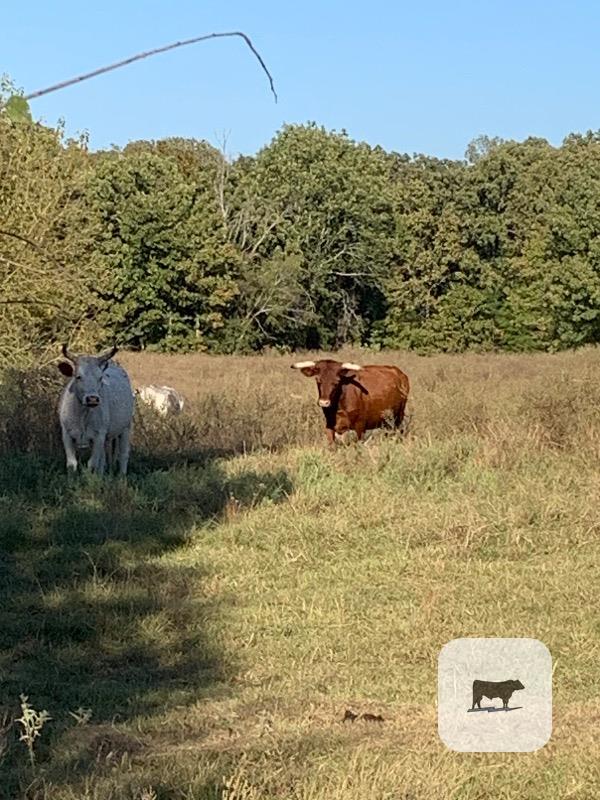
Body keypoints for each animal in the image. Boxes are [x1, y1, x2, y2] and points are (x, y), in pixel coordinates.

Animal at [57, 344, 135, 475]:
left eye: (100, 378)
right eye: (78, 377)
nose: (92, 399)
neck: (83, 415)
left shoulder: (99, 436)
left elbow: (92, 464)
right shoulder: (66, 434)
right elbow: (72, 464)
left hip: (126, 428)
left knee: (123, 455)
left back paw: (121, 477)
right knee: (103, 459)